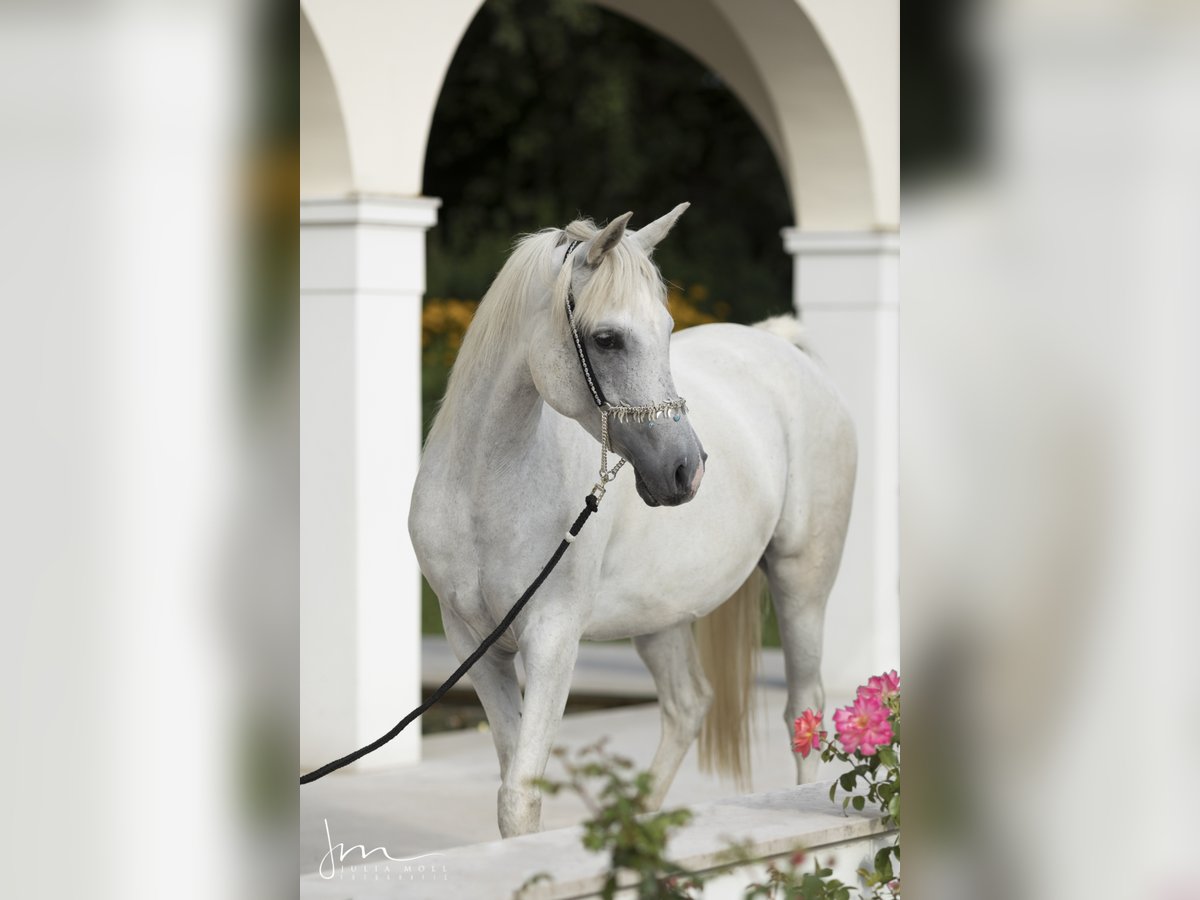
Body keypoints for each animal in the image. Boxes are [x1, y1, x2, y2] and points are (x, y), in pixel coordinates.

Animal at [408, 204, 859, 840]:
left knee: (803, 710)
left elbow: (520, 792)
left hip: (803, 582)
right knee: (688, 704)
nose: (686, 468)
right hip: (660, 614)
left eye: (668, 330)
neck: (481, 492)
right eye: (607, 338)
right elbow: (511, 786)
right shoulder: (475, 645)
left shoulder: (552, 640)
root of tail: (779, 345)